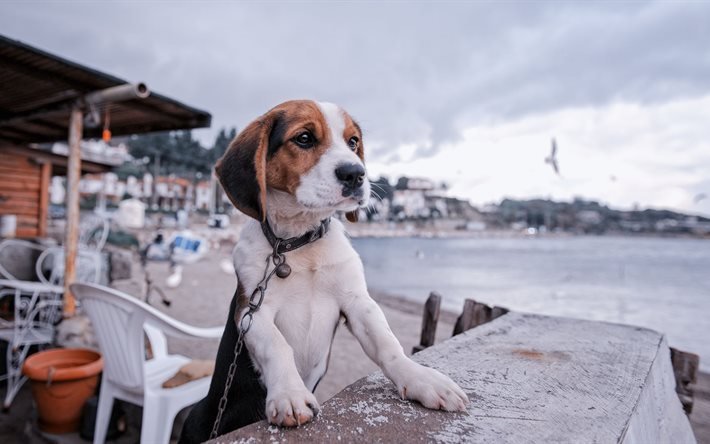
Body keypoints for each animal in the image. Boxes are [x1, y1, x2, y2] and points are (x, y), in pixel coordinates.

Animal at [179, 100, 468, 444]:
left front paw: (421, 378)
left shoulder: (357, 302)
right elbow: (277, 346)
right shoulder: (251, 310)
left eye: (353, 142)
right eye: (304, 138)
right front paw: (289, 394)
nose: (356, 174)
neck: (299, 243)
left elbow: (388, 345)